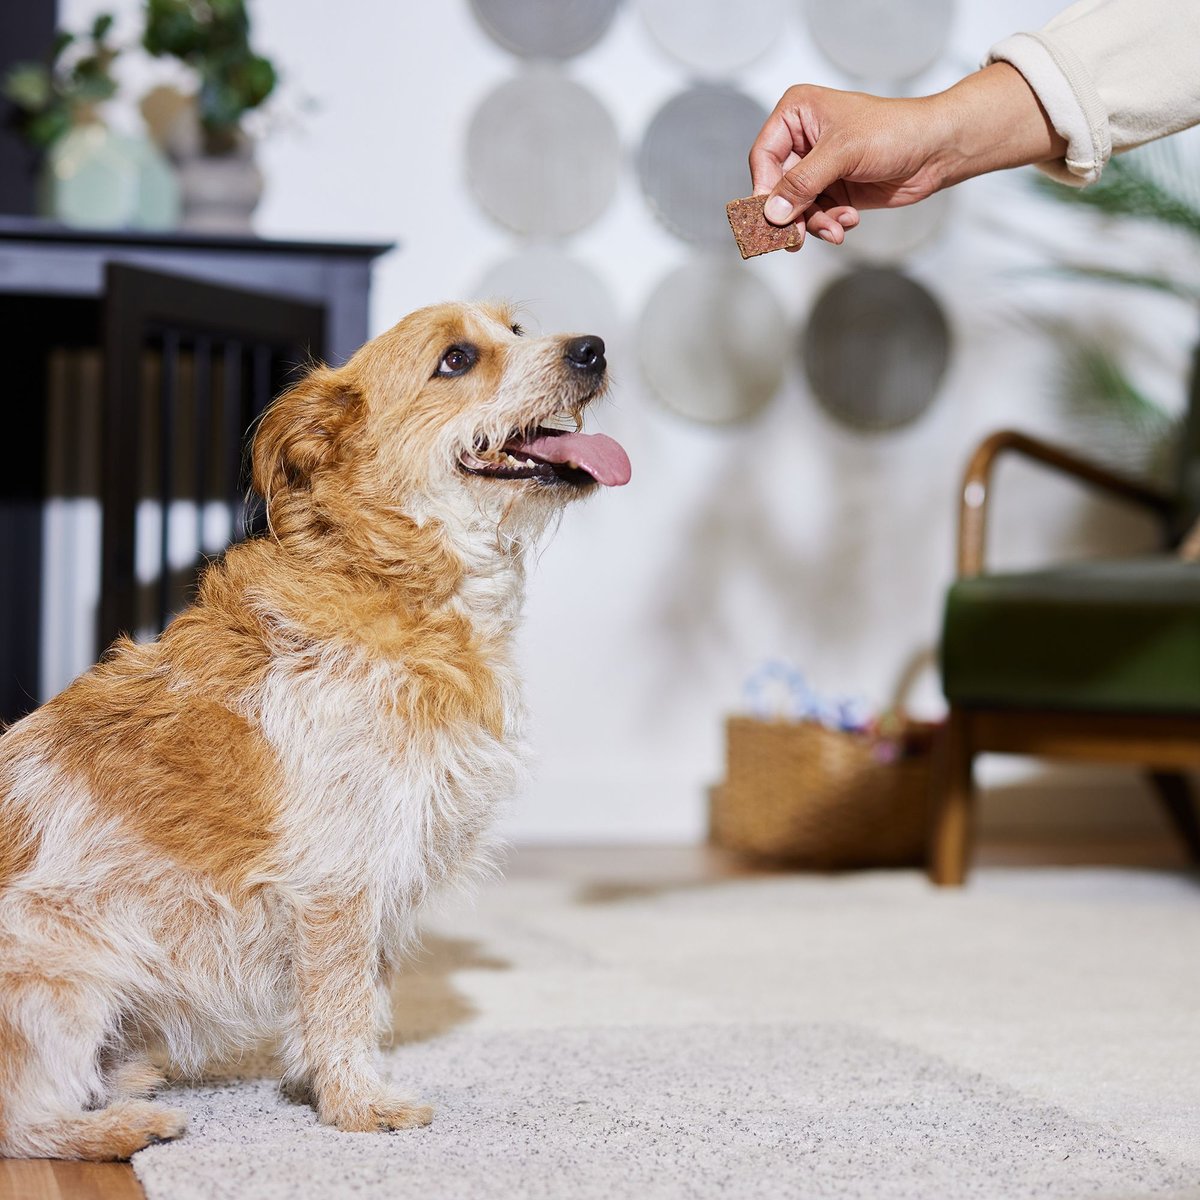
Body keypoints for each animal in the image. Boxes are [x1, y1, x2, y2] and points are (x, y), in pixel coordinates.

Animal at [0, 302, 633, 1161]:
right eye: (456, 359)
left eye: (515, 327)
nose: (592, 348)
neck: (393, 577)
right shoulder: (339, 877)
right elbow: (342, 997)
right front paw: (360, 1106)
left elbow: (361, 996)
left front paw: (324, 1086)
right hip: (63, 978)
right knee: (22, 1121)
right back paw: (126, 1125)